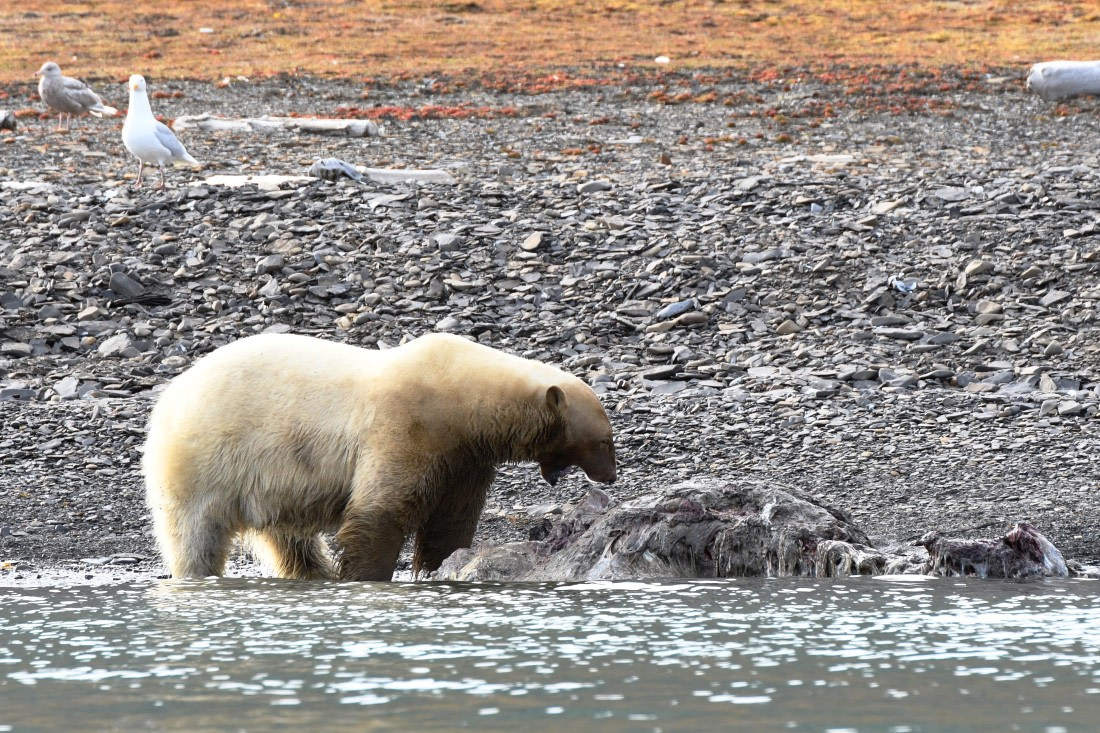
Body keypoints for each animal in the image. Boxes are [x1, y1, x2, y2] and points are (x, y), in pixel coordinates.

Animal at [142, 332, 616, 581]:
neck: (466, 399)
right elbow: (382, 509)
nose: (611, 476)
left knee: (288, 537)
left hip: (268, 480)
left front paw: (437, 566)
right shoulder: (407, 425)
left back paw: (313, 572)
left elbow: (451, 519)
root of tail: (169, 396)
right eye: (605, 441)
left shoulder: (463, 457)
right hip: (206, 460)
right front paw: (366, 575)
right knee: (194, 532)